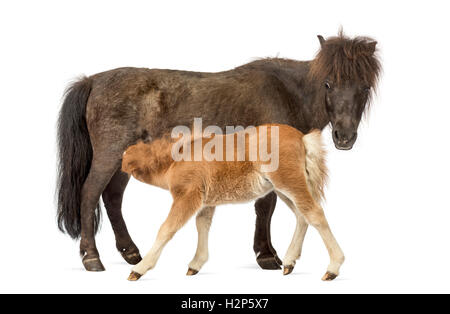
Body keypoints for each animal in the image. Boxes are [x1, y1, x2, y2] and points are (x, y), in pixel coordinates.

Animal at [121, 124, 342, 280]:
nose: (121, 160)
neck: (177, 158)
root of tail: (302, 138)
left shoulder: (187, 196)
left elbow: (167, 229)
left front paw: (139, 269)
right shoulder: (206, 202)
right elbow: (202, 225)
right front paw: (195, 264)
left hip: (290, 182)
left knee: (314, 213)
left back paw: (332, 268)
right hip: (283, 189)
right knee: (302, 216)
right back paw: (289, 263)